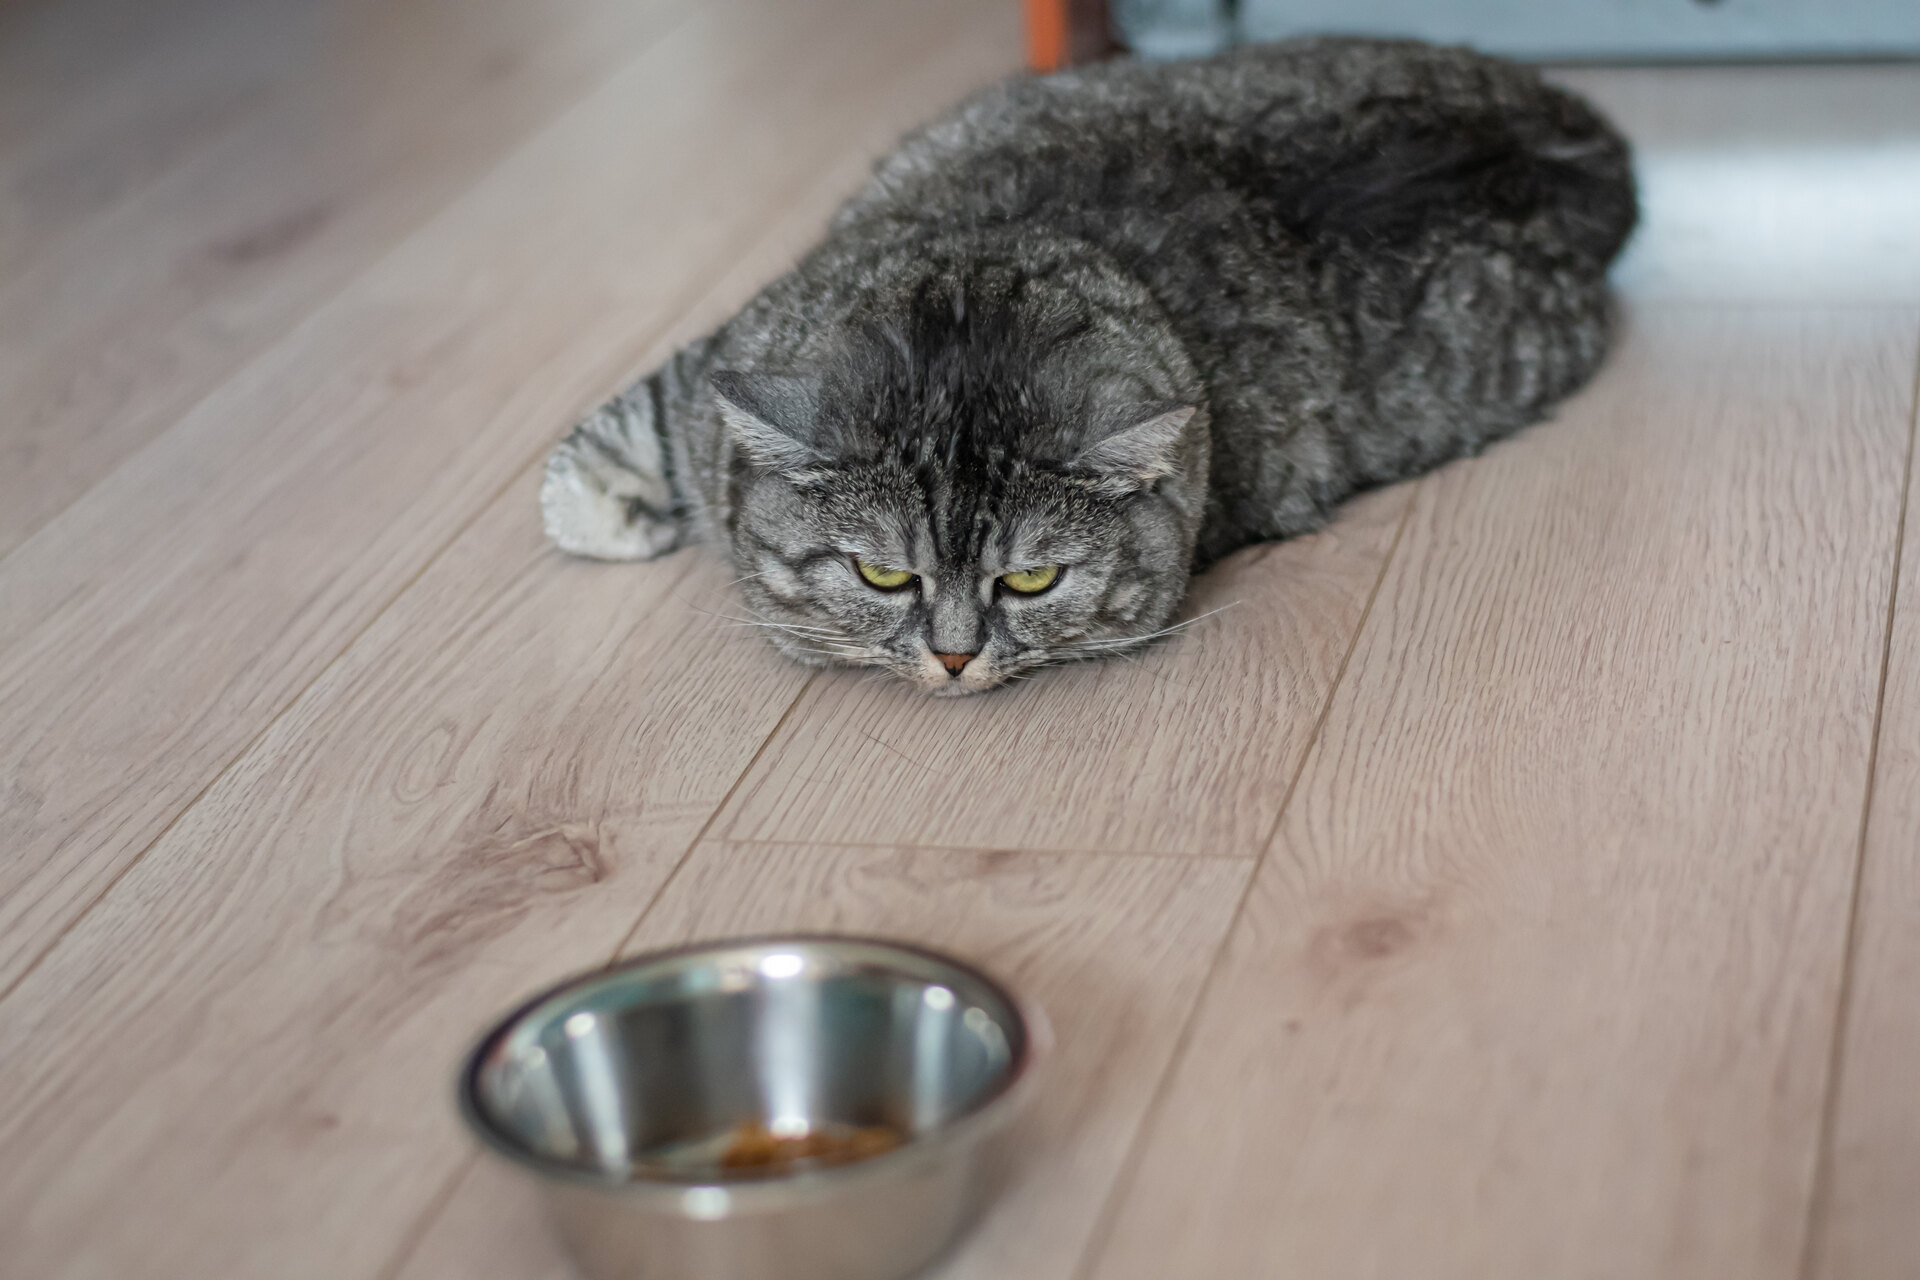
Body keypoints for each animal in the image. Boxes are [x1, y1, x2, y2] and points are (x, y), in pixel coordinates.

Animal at [537, 35, 1635, 694]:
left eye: (1032, 582)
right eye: (883, 573)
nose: (952, 656)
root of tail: (1584, 135)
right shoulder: (719, 365)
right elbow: (607, 447)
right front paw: (619, 511)